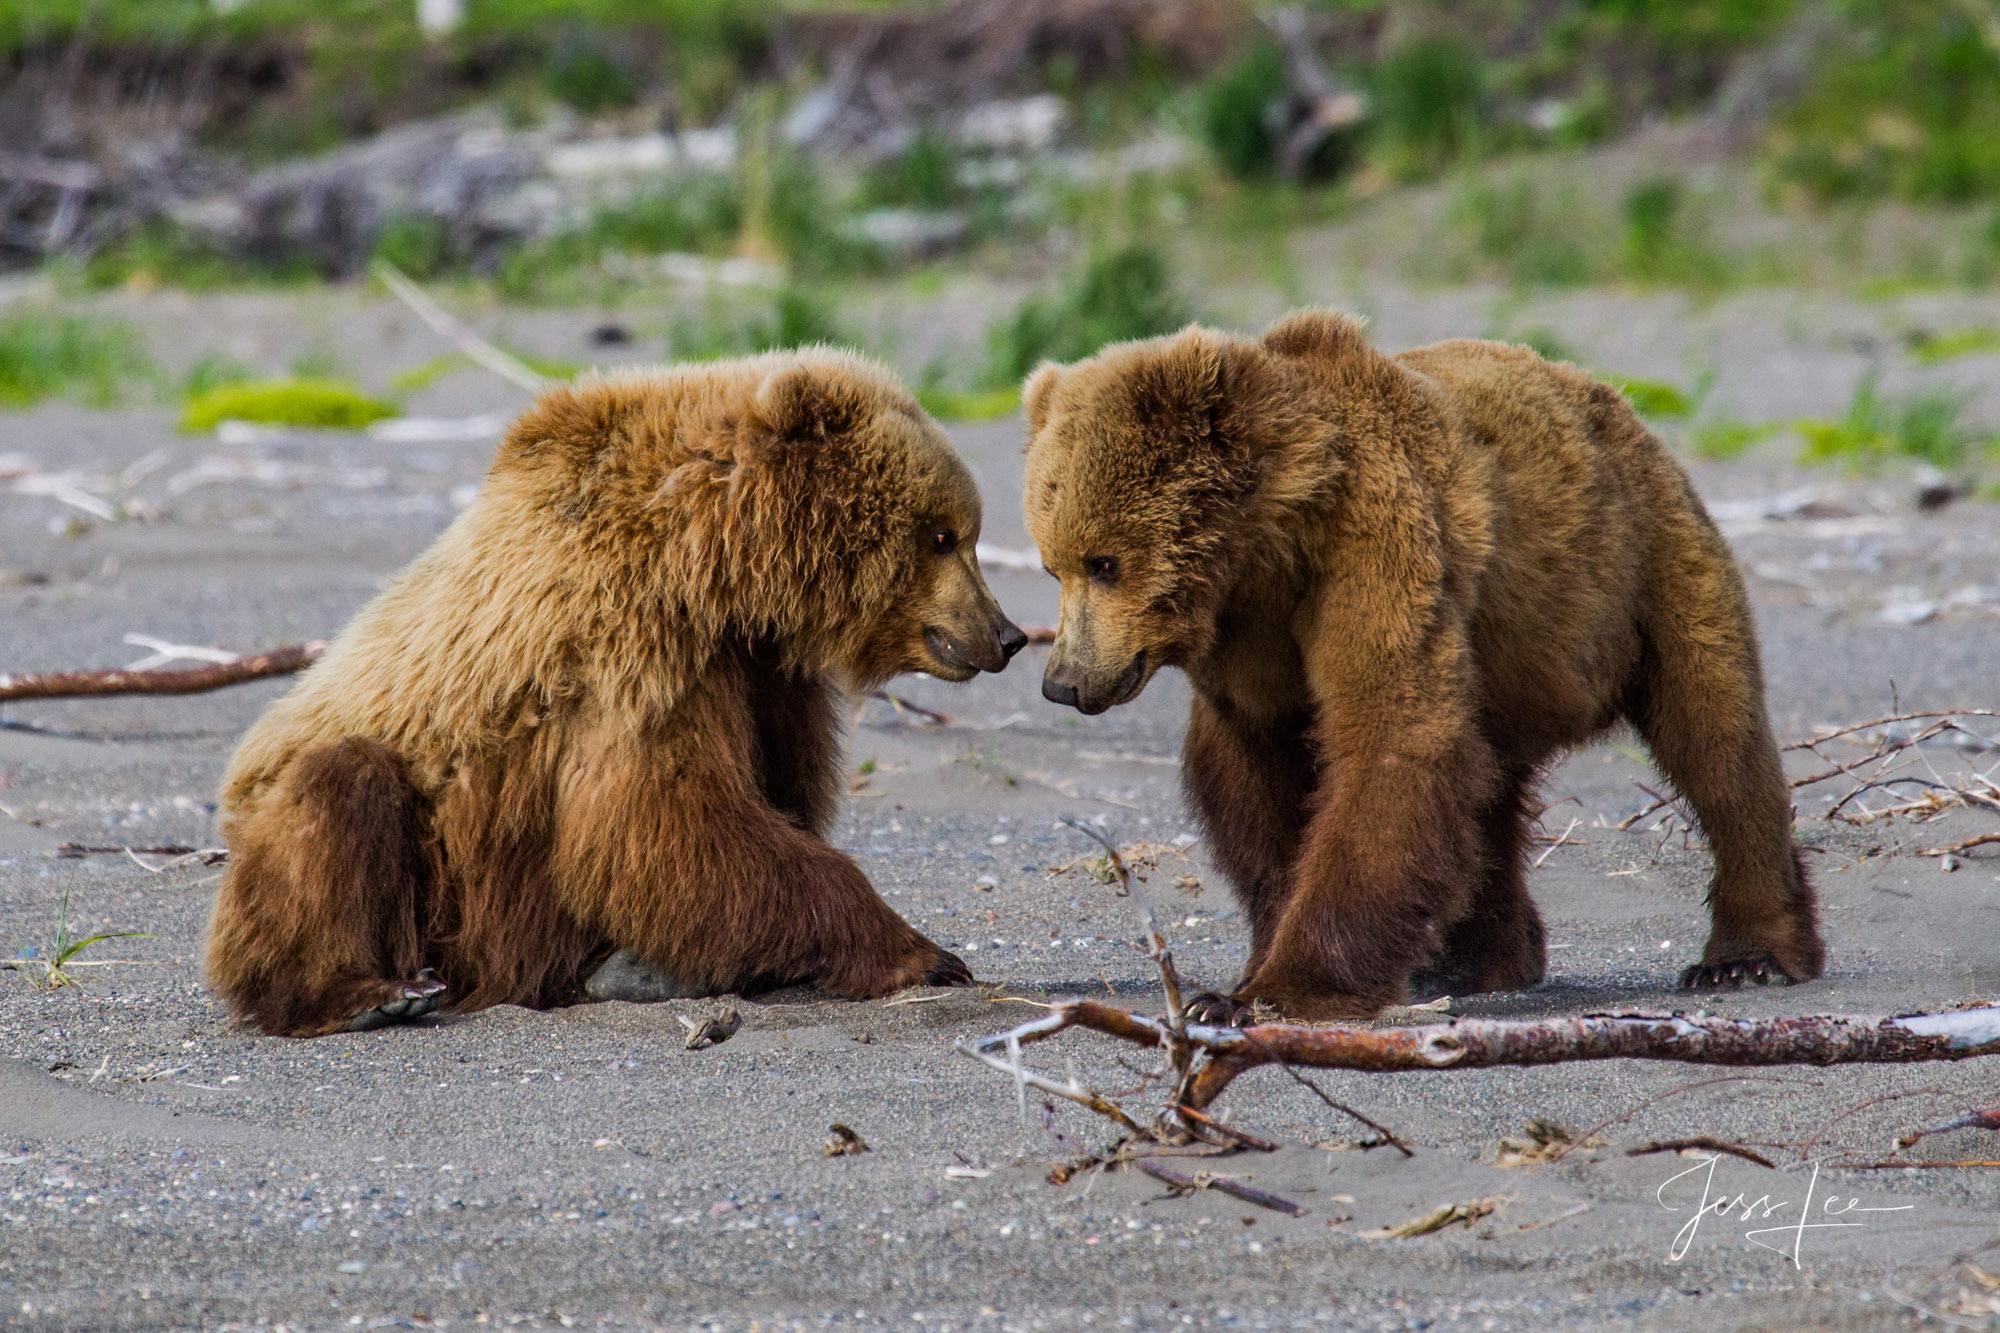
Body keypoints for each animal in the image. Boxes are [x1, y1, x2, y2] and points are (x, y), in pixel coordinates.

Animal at [205, 352, 1024, 1040]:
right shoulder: (634, 642)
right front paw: (922, 951)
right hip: (397, 868)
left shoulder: (760, 670)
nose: (1007, 633)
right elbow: (655, 822)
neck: (720, 564)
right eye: (943, 535)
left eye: (965, 530)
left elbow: (767, 797)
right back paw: (367, 992)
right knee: (340, 794)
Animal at [1024, 312, 1824, 1016]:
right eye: (1051, 563)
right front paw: (1254, 966)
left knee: (1714, 734)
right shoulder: (1247, 652)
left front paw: (1264, 993)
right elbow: (1257, 784)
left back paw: (1748, 953)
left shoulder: (1376, 546)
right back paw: (1481, 957)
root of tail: (1619, 403)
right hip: (1515, 661)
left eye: (1104, 562)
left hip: (1646, 569)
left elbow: (1392, 738)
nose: (1062, 681)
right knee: (1488, 794)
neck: (1268, 552)